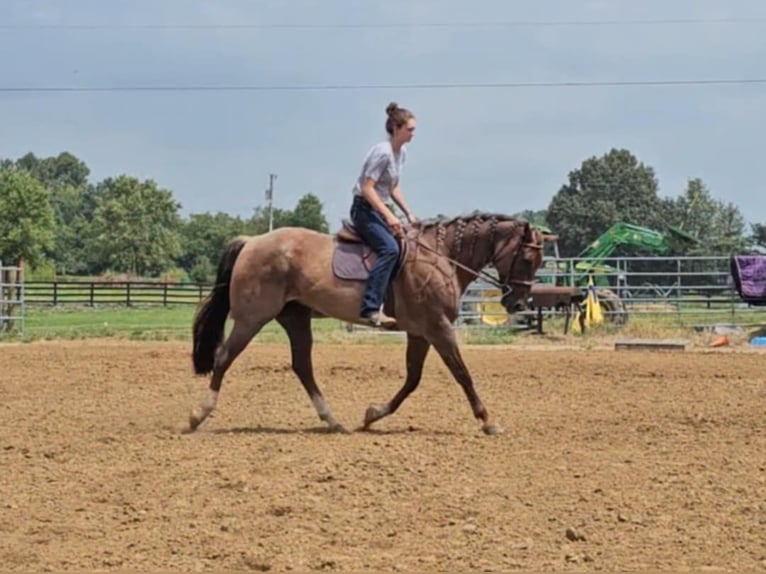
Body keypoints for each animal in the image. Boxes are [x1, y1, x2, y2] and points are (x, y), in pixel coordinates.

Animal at [188, 212, 544, 436]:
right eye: (527, 258)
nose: (518, 304)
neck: (440, 257)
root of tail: (252, 242)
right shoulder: (438, 327)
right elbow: (462, 374)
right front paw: (487, 421)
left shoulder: (420, 332)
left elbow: (413, 379)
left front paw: (373, 414)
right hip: (252, 318)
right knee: (224, 357)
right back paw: (198, 414)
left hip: (295, 319)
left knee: (303, 366)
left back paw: (333, 422)